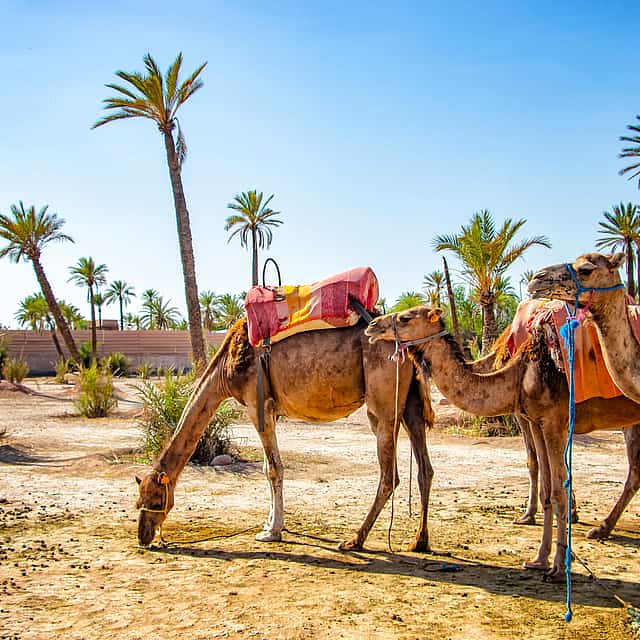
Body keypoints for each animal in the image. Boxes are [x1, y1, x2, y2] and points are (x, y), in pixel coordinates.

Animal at [136, 317, 436, 551]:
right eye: (138, 500)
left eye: (156, 499)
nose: (143, 536)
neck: (225, 368)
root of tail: (407, 345)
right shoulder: (270, 411)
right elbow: (268, 468)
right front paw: (270, 523)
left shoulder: (257, 405)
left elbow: (272, 469)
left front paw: (272, 531)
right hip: (409, 402)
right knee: (425, 469)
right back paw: (419, 542)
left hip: (383, 406)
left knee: (389, 476)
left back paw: (354, 540)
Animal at [365, 306, 640, 581]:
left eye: (405, 318)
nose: (372, 326)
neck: (520, 373)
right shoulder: (535, 420)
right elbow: (546, 488)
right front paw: (539, 559)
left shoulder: (555, 421)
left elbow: (558, 491)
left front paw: (559, 567)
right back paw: (602, 529)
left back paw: (600, 530)